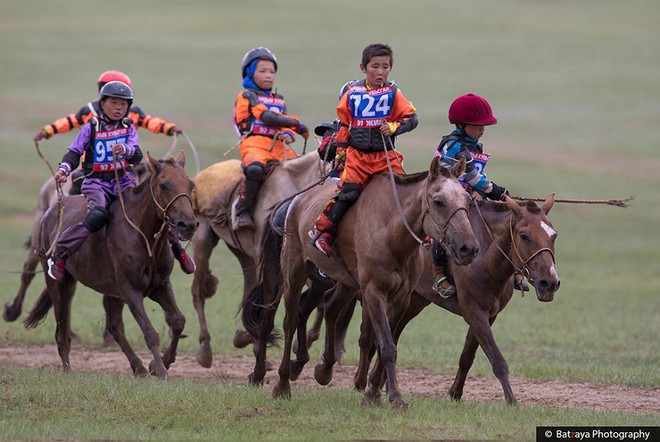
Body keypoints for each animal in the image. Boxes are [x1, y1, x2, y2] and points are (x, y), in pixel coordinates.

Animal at [23, 153, 199, 376]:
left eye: (191, 184)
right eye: (164, 185)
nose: (188, 225)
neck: (144, 237)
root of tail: (51, 211)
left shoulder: (159, 286)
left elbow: (178, 321)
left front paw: (161, 363)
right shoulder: (130, 290)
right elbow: (150, 332)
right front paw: (160, 370)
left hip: (109, 290)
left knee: (115, 327)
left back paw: (138, 367)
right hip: (59, 283)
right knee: (62, 330)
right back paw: (67, 369)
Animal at [192, 150, 332, 368]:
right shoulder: (271, 255)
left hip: (242, 252)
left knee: (248, 286)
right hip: (203, 237)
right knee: (198, 292)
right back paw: (205, 351)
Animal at [242, 158, 480, 408]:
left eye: (467, 200)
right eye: (438, 201)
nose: (468, 248)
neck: (392, 232)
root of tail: (295, 201)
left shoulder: (402, 297)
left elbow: (387, 342)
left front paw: (374, 391)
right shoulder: (373, 291)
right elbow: (385, 345)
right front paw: (392, 397)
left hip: (344, 282)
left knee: (329, 310)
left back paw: (322, 369)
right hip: (292, 271)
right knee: (287, 321)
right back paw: (281, 383)